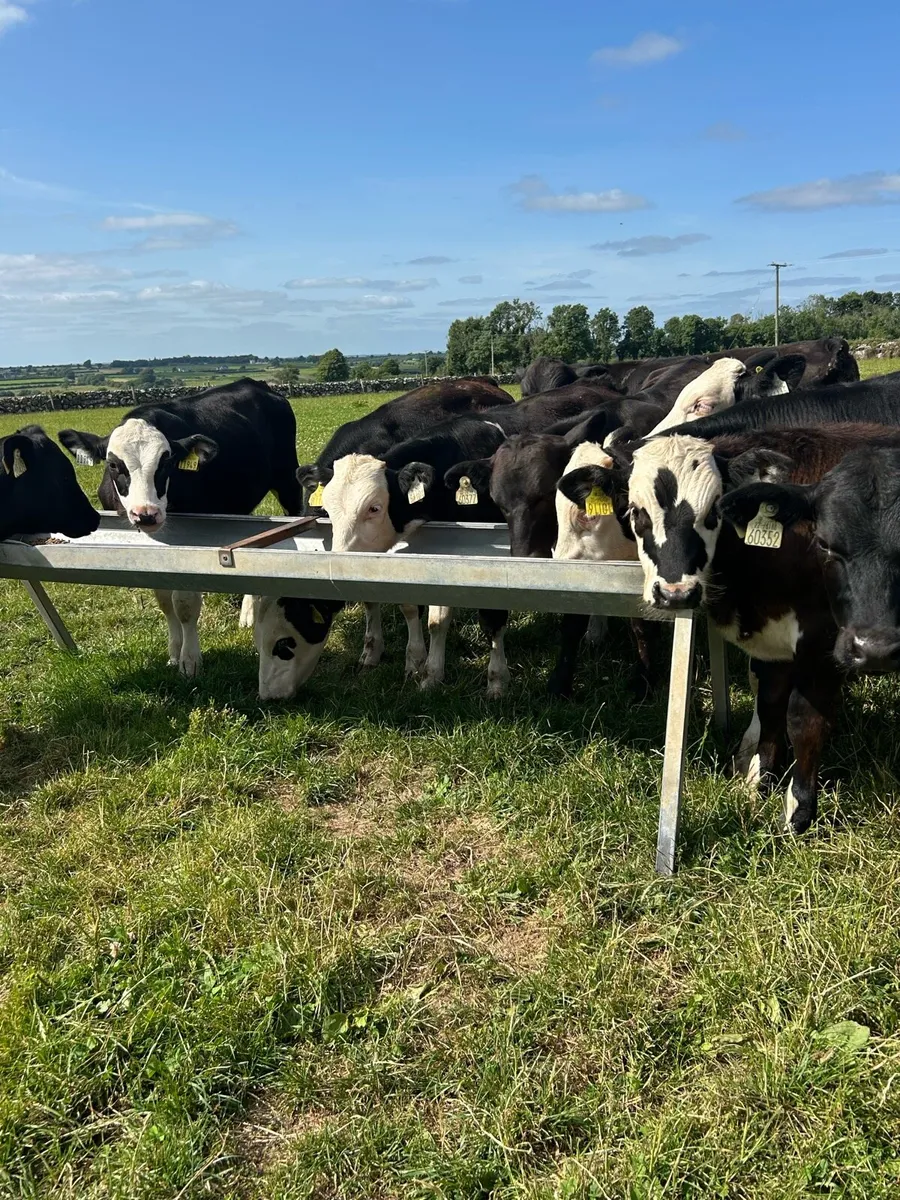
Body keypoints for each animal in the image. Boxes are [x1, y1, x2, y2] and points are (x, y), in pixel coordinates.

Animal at [59, 378, 302, 676]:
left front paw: (190, 660)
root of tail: (256, 383)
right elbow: (165, 602)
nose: (146, 514)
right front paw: (174, 652)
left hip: (287, 481)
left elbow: (184, 604)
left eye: (167, 462)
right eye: (114, 464)